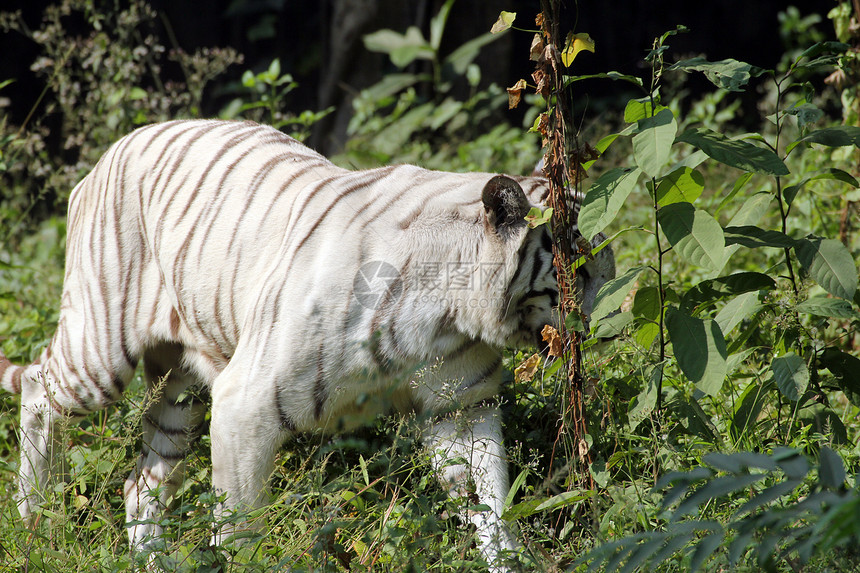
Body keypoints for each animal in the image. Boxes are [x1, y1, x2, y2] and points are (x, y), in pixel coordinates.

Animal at [1, 118, 620, 568]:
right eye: (578, 261)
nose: (609, 313)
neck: (449, 312)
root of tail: (110, 153)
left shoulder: (463, 403)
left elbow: (492, 500)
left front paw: (508, 560)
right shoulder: (246, 404)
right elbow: (240, 524)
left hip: (182, 387)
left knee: (141, 484)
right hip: (100, 351)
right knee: (36, 388)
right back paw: (32, 518)